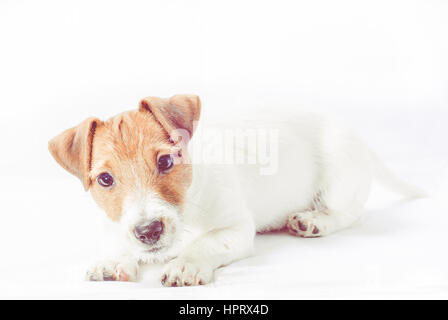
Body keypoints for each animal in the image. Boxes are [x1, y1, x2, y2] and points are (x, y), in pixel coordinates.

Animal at [49, 94, 424, 286]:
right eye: (105, 180)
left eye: (166, 162)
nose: (149, 231)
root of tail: (357, 134)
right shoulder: (115, 223)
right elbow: (116, 239)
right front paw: (113, 259)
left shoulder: (235, 229)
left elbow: (203, 243)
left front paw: (186, 264)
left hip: (339, 174)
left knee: (349, 213)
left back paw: (313, 221)